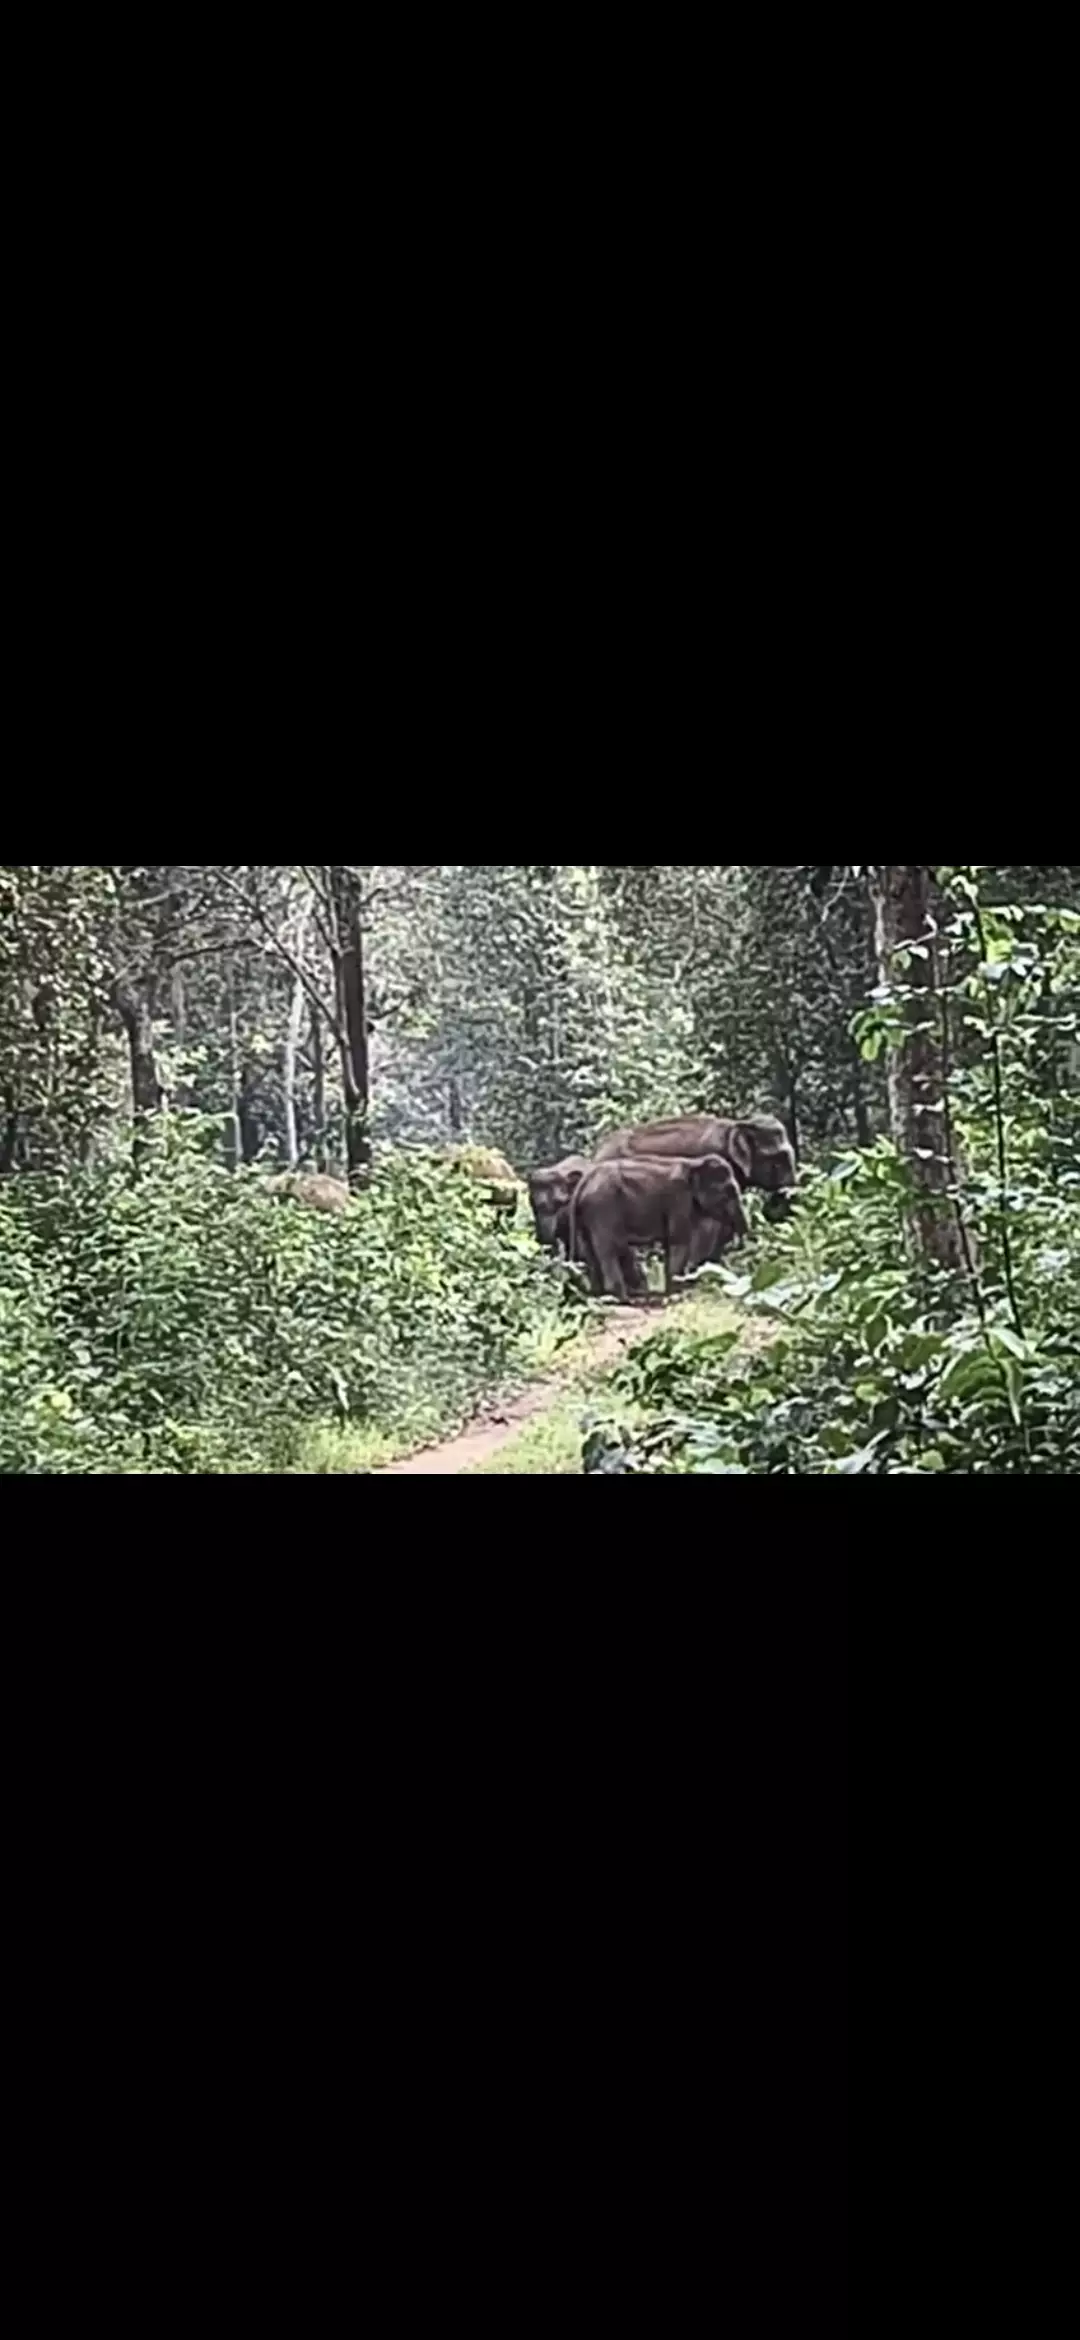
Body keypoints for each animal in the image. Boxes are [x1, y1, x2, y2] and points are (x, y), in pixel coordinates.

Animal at [569, 1154, 748, 1303]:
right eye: (730, 1190)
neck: (694, 1163)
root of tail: (584, 1181)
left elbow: (672, 1242)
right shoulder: (679, 1199)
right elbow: (678, 1240)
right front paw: (676, 1295)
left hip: (588, 1214)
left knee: (591, 1250)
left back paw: (600, 1296)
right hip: (602, 1207)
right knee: (609, 1249)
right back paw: (622, 1298)